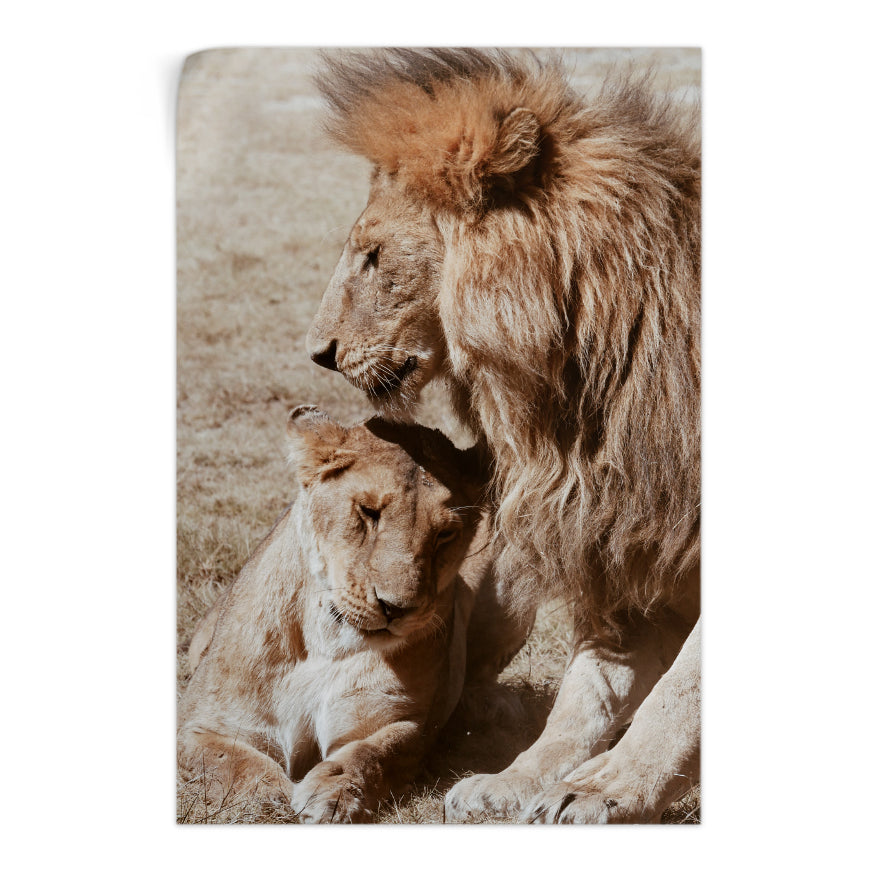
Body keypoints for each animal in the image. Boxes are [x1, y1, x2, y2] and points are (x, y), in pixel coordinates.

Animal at [178, 405, 530, 823]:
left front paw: (333, 796)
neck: (325, 641)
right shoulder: (201, 725)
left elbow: (369, 754)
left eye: (445, 534)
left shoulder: (403, 722)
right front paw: (268, 794)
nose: (396, 608)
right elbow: (226, 758)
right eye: (368, 512)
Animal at [307, 49, 701, 823]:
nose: (321, 353)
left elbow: (681, 691)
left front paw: (609, 789)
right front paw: (522, 781)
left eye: (372, 255)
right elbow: (589, 690)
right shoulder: (622, 532)